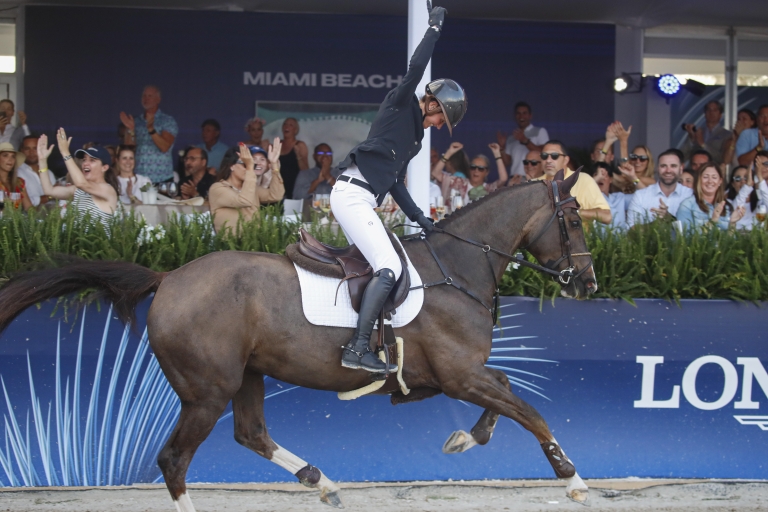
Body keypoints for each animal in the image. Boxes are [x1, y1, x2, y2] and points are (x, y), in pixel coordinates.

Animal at [0, 171, 596, 508]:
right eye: (573, 218)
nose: (587, 282)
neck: (457, 267)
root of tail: (169, 278)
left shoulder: (460, 377)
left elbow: (509, 392)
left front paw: (465, 439)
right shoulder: (458, 375)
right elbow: (528, 410)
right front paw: (571, 479)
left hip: (247, 375)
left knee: (250, 434)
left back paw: (322, 481)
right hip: (207, 391)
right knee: (174, 460)